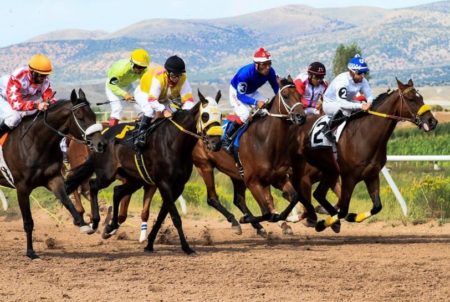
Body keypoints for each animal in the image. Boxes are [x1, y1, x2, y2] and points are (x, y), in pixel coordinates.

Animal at [64, 90, 223, 255]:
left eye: (221, 116)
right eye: (205, 116)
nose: (216, 143)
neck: (174, 142)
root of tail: (100, 138)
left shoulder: (177, 186)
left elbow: (161, 216)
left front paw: (149, 244)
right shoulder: (164, 183)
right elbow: (175, 217)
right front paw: (186, 247)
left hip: (134, 179)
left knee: (117, 191)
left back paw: (110, 226)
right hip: (107, 174)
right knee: (93, 185)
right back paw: (95, 222)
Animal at [288, 78, 436, 231]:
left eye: (421, 98)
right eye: (411, 99)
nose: (432, 121)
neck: (364, 136)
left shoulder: (372, 175)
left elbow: (376, 207)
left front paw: (351, 217)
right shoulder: (349, 178)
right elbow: (343, 210)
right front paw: (323, 223)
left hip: (329, 173)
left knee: (318, 194)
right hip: (309, 174)